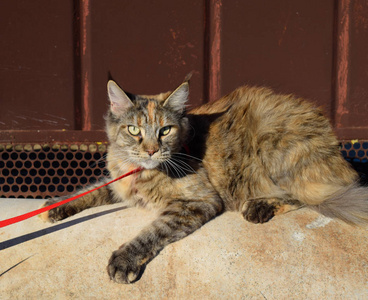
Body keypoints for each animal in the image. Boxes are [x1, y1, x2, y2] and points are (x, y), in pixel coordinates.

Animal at [40, 74, 368, 284]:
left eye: (165, 130)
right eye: (134, 130)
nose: (151, 150)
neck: (140, 172)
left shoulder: (196, 200)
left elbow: (152, 232)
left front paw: (125, 259)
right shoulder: (119, 186)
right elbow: (89, 191)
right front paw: (54, 207)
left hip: (275, 149)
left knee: (317, 196)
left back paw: (259, 205)